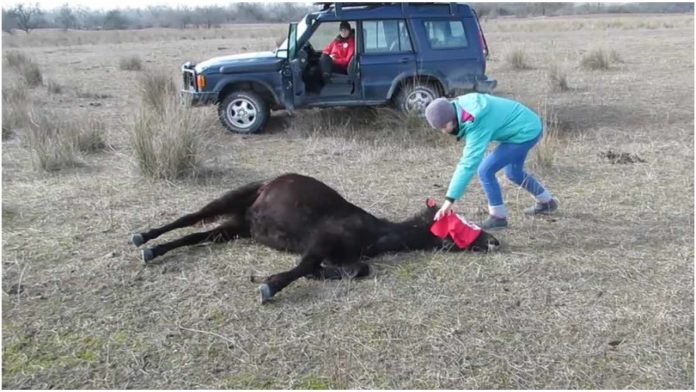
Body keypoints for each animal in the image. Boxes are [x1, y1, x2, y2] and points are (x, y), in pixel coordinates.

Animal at [130, 172, 500, 304]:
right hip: (232, 201)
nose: (493, 241)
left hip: (238, 226)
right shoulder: (320, 242)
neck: (373, 232)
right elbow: (307, 265)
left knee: (200, 235)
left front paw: (326, 274)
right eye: (455, 223)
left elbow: (357, 268)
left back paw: (155, 250)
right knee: (189, 218)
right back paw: (143, 238)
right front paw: (270, 286)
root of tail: (268, 184)